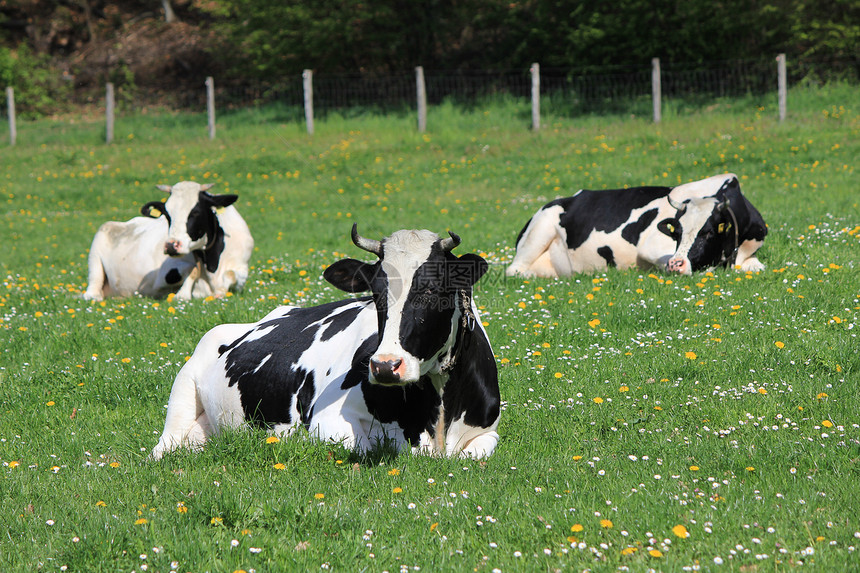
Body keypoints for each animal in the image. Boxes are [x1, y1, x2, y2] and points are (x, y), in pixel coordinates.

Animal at [82, 181, 254, 302]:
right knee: (93, 287)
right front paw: (181, 295)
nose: (171, 245)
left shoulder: (241, 267)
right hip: (98, 246)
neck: (212, 263)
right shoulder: (163, 275)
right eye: (167, 214)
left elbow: (231, 274)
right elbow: (192, 270)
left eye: (195, 212)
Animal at [153, 223, 504, 460]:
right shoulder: (328, 421)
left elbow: (477, 451)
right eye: (375, 291)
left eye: (432, 289)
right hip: (183, 388)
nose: (385, 366)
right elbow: (365, 446)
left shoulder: (487, 432)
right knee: (164, 445)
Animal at [504, 172, 764, 278]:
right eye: (677, 233)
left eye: (708, 233)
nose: (676, 265)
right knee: (514, 270)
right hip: (540, 230)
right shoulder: (651, 247)